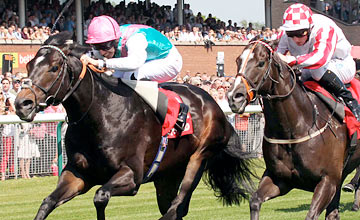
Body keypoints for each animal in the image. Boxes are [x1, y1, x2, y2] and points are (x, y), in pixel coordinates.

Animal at [14, 31, 253, 220]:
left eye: (54, 67)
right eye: (29, 65)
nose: (22, 104)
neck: (100, 115)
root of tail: (214, 103)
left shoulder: (132, 176)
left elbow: (100, 196)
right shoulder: (77, 174)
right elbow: (47, 202)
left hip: (199, 158)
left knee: (177, 206)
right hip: (168, 174)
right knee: (173, 207)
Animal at [228, 38, 360, 219]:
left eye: (261, 63)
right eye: (237, 61)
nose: (234, 97)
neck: (295, 127)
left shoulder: (328, 180)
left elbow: (311, 214)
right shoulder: (280, 179)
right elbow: (254, 201)